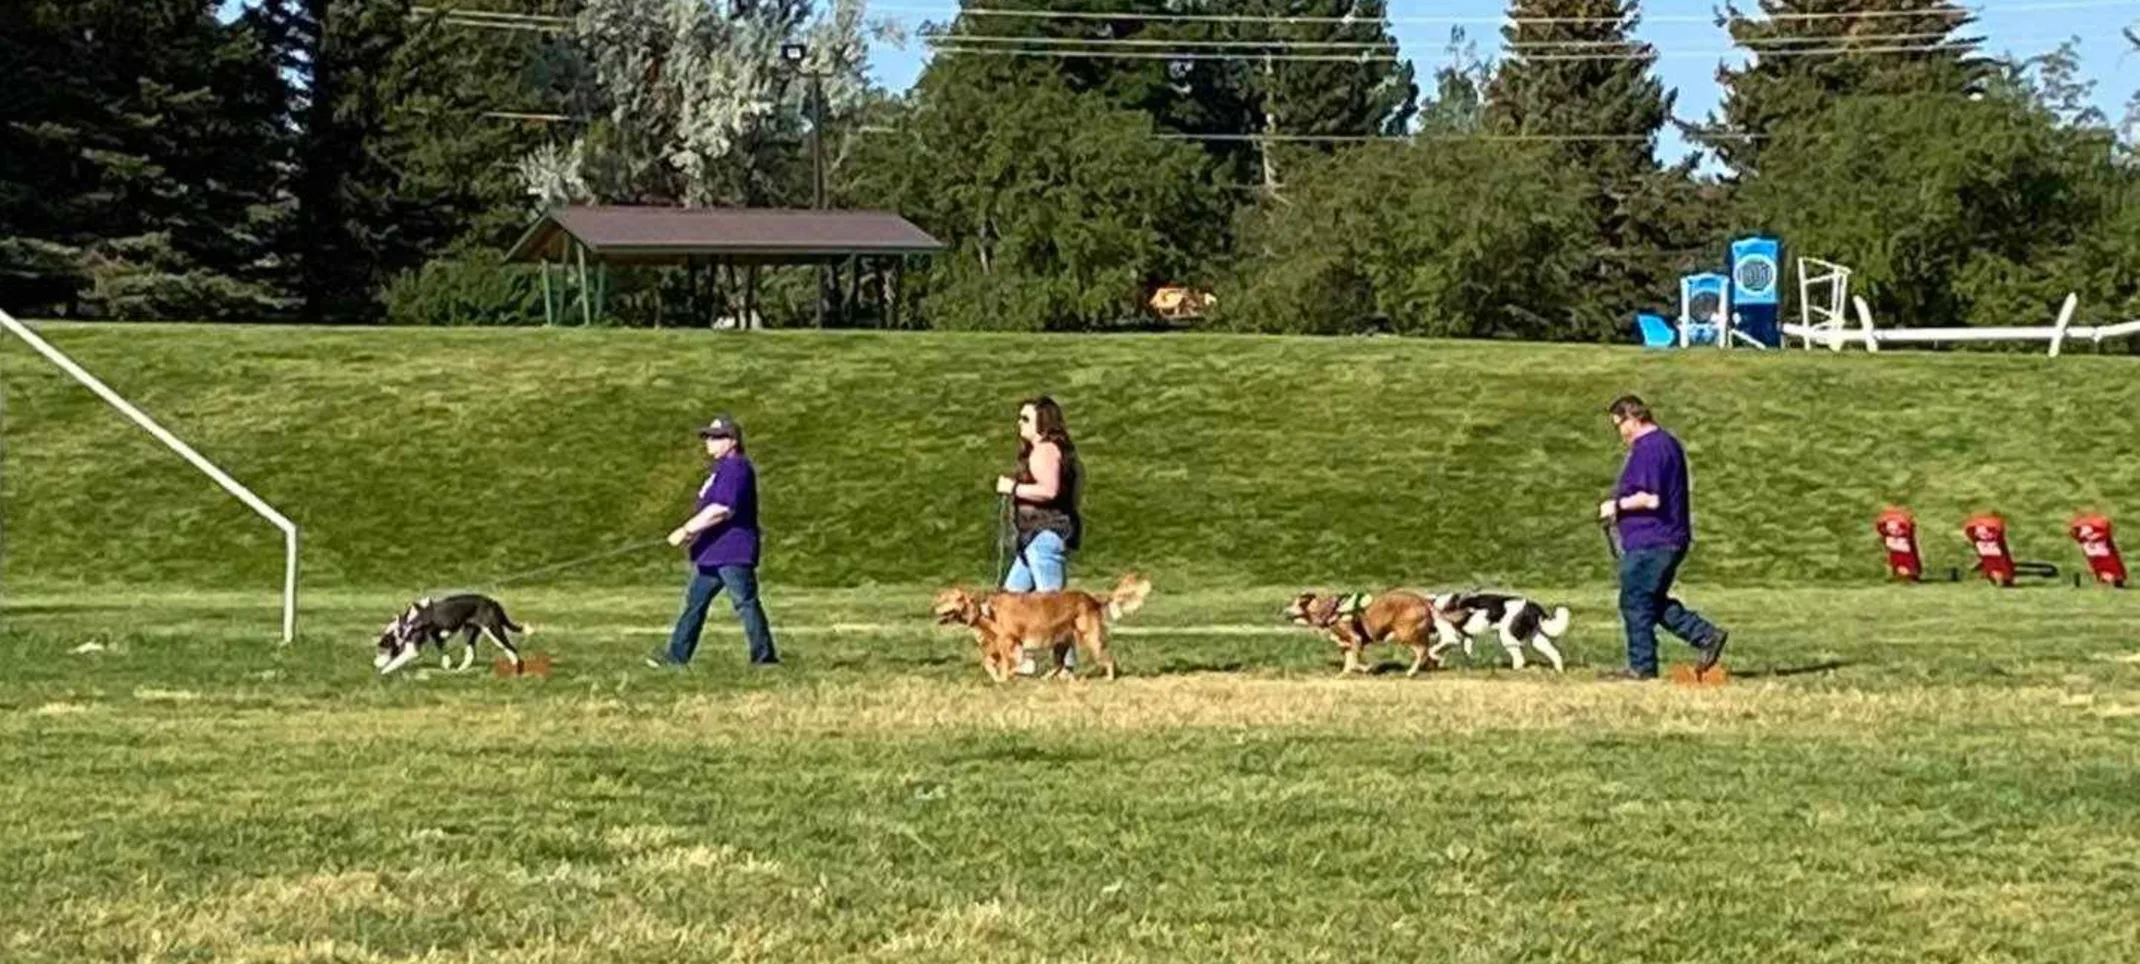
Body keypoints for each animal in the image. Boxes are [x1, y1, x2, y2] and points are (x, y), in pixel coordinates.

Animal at [372, 591, 530, 672]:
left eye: (383, 649)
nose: (375, 663)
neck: (407, 623)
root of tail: (493, 602)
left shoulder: (413, 649)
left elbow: (395, 661)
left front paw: (383, 672)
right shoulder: (437, 636)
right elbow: (444, 653)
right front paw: (447, 665)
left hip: (493, 630)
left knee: (511, 648)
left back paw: (516, 669)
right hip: (469, 631)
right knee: (471, 654)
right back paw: (460, 670)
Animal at [1438, 591, 1575, 672]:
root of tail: (1532, 606)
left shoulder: (1451, 636)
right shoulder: (1467, 637)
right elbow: (1466, 652)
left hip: (1507, 636)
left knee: (1519, 659)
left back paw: (1514, 672)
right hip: (1536, 639)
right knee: (1554, 653)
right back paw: (1558, 671)